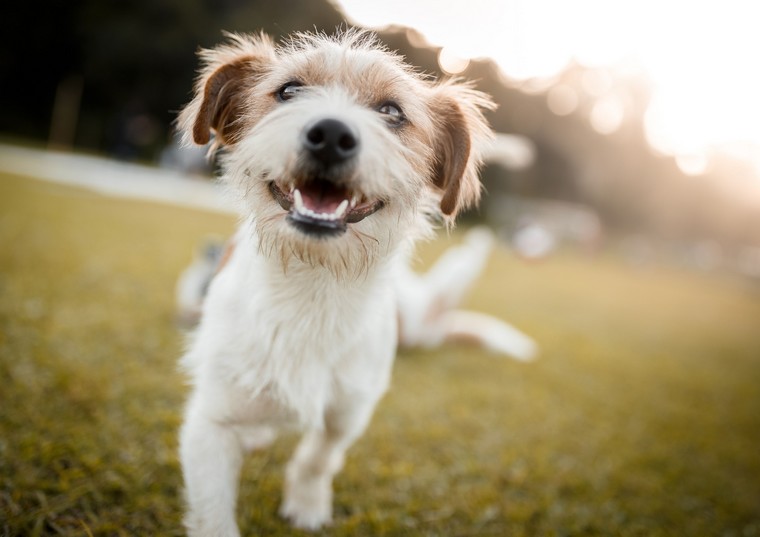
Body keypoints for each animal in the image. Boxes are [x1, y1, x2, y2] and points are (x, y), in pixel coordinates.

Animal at [177, 30, 536, 536]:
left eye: (392, 111)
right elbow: (213, 512)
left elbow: (320, 456)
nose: (331, 134)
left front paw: (307, 503)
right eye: (289, 91)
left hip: (414, 319)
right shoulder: (210, 422)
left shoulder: (350, 409)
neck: (313, 283)